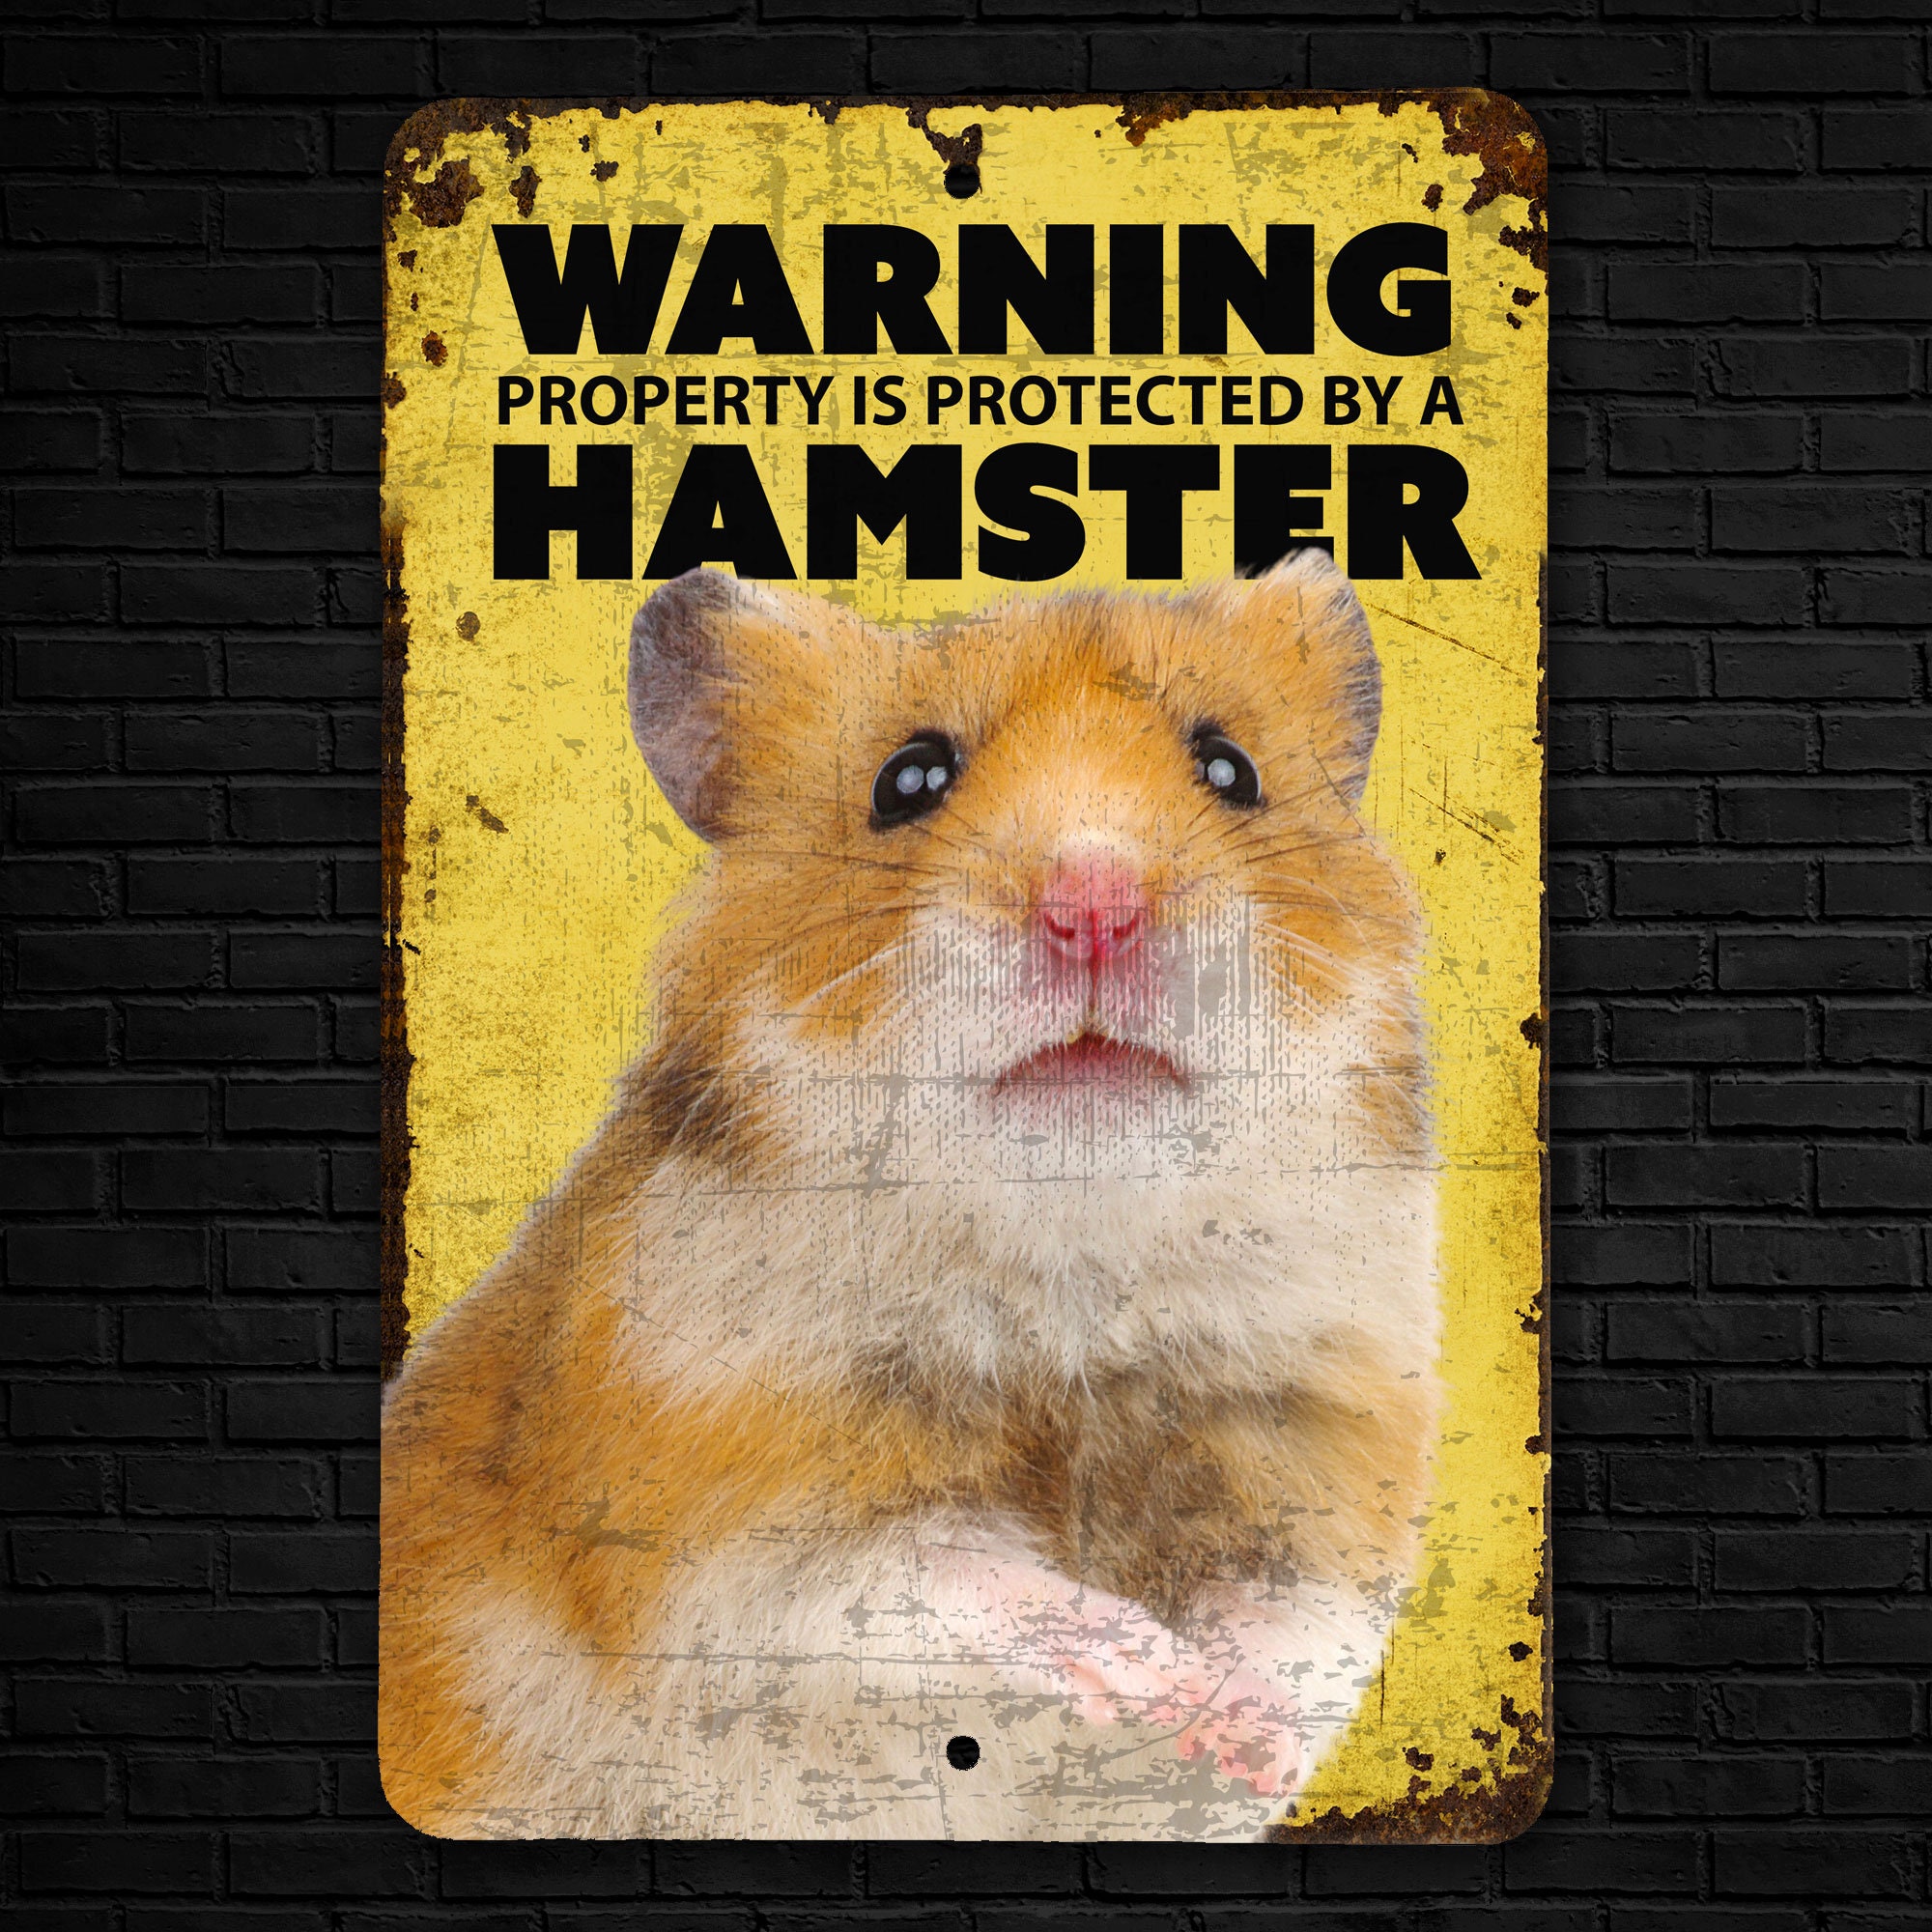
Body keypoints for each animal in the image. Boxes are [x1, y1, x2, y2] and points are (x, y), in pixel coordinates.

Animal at [380, 549, 1441, 1841]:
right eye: (907, 780)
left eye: (1229, 768)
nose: (1094, 905)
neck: (1072, 1273)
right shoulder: (727, 1518)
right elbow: (944, 1581)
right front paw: (1147, 1671)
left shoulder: (1332, 1473)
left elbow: (1290, 1626)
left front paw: (1234, 1730)